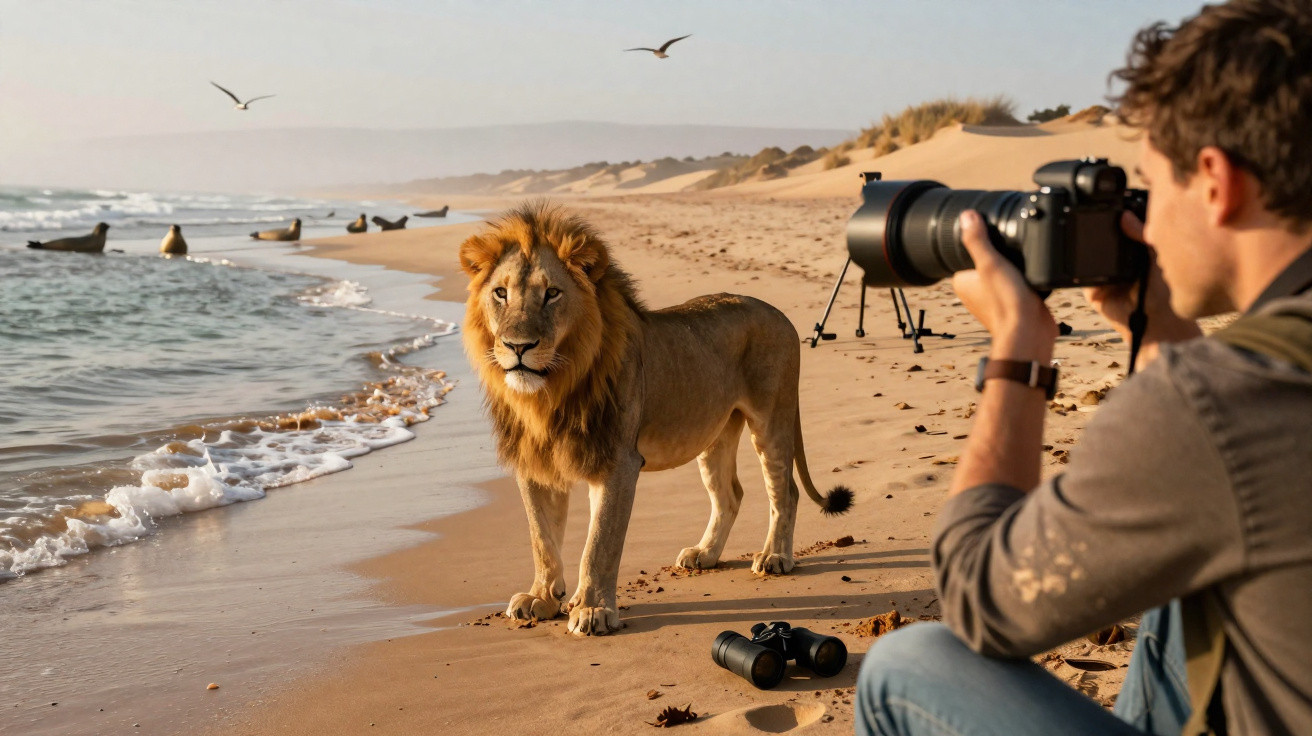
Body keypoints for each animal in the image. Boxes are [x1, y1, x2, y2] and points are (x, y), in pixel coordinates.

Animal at [458, 202, 852, 636]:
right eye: (500, 293)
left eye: (552, 293)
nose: (518, 346)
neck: (550, 394)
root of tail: (779, 313)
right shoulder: (536, 464)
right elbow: (541, 538)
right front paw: (543, 598)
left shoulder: (618, 462)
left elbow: (599, 543)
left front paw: (593, 610)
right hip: (714, 433)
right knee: (730, 495)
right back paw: (705, 554)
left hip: (772, 419)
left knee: (785, 491)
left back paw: (775, 557)